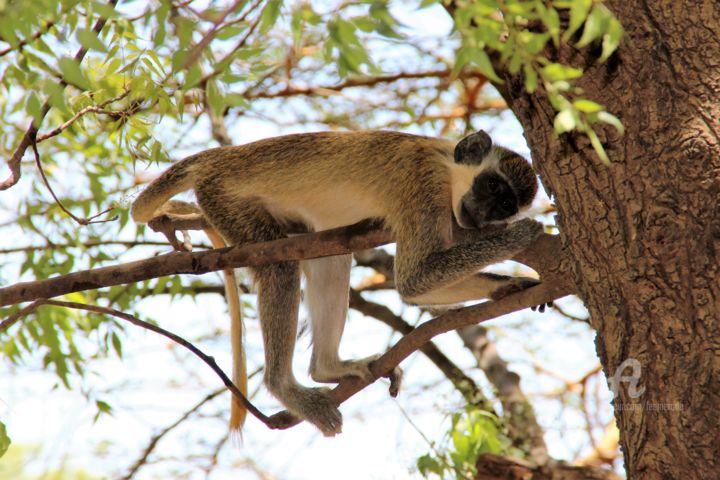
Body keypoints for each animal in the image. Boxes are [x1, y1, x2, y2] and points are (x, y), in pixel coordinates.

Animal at [132, 129, 544, 436]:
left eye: (506, 205)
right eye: (493, 187)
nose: (490, 216)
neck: (445, 164)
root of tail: (219, 157)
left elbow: (418, 287)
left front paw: (508, 285)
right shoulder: (421, 185)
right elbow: (412, 280)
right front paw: (520, 236)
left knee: (331, 258)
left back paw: (328, 368)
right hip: (223, 196)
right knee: (280, 267)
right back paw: (285, 387)